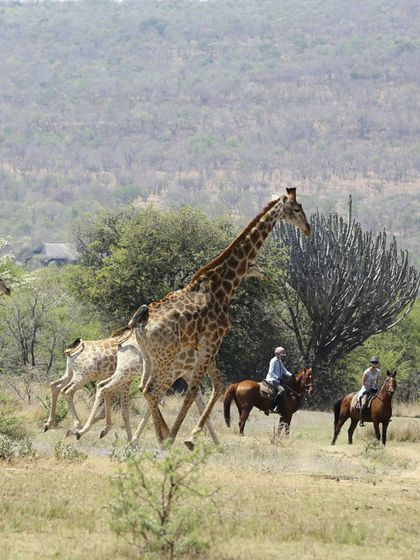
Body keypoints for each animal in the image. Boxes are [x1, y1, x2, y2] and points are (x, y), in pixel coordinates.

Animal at [74, 262, 268, 442]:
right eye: (252, 265)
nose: (263, 272)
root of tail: (122, 344)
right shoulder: (184, 370)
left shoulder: (186, 372)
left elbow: (197, 399)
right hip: (131, 371)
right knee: (108, 388)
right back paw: (88, 430)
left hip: (129, 371)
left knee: (107, 388)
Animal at [133, 188, 310, 446]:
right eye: (296, 209)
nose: (308, 229)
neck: (224, 285)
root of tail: (140, 323)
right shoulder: (212, 340)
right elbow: (196, 390)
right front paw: (186, 437)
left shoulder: (208, 345)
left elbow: (216, 386)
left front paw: (190, 434)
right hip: (166, 356)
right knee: (153, 390)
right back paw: (164, 438)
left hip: (150, 357)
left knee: (146, 389)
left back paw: (158, 436)